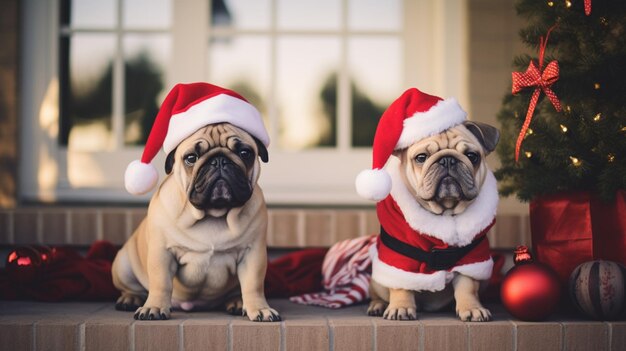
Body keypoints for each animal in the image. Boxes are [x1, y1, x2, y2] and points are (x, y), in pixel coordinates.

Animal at [111, 123, 280, 322]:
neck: (213, 214)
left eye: (245, 153)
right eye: (191, 158)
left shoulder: (252, 254)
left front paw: (260, 309)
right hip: (123, 265)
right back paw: (130, 298)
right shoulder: (162, 253)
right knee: (131, 287)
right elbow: (161, 282)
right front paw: (154, 307)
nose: (219, 161)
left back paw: (238, 301)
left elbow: (253, 285)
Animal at [360, 119, 498, 324]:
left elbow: (467, 286)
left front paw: (472, 308)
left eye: (472, 156)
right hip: (377, 281)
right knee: (379, 292)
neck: (445, 212)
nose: (447, 159)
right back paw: (378, 305)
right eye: (421, 157)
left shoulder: (471, 258)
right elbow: (401, 284)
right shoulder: (400, 257)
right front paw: (401, 307)